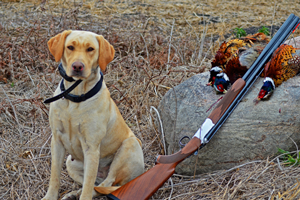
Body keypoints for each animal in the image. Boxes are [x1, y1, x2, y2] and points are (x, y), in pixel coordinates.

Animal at [42, 30, 144, 199]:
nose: (77, 66)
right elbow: (54, 176)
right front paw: (50, 196)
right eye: (70, 47)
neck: (75, 97)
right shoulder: (57, 140)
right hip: (70, 162)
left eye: (90, 49)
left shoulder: (91, 148)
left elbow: (88, 187)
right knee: (94, 185)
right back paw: (73, 193)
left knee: (106, 184)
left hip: (129, 145)